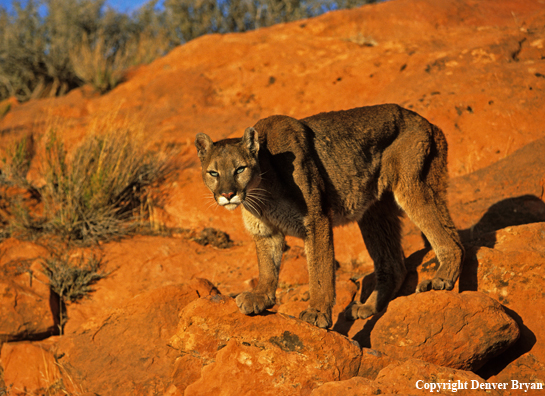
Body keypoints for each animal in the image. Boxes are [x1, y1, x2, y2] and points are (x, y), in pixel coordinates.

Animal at [196, 104, 464, 328]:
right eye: (213, 173)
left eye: (240, 169)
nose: (227, 194)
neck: (262, 191)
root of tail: (426, 122)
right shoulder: (266, 231)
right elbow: (267, 267)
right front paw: (261, 297)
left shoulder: (316, 221)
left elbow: (320, 271)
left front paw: (316, 312)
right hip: (374, 212)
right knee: (395, 264)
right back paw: (367, 307)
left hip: (413, 186)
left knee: (452, 241)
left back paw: (441, 279)